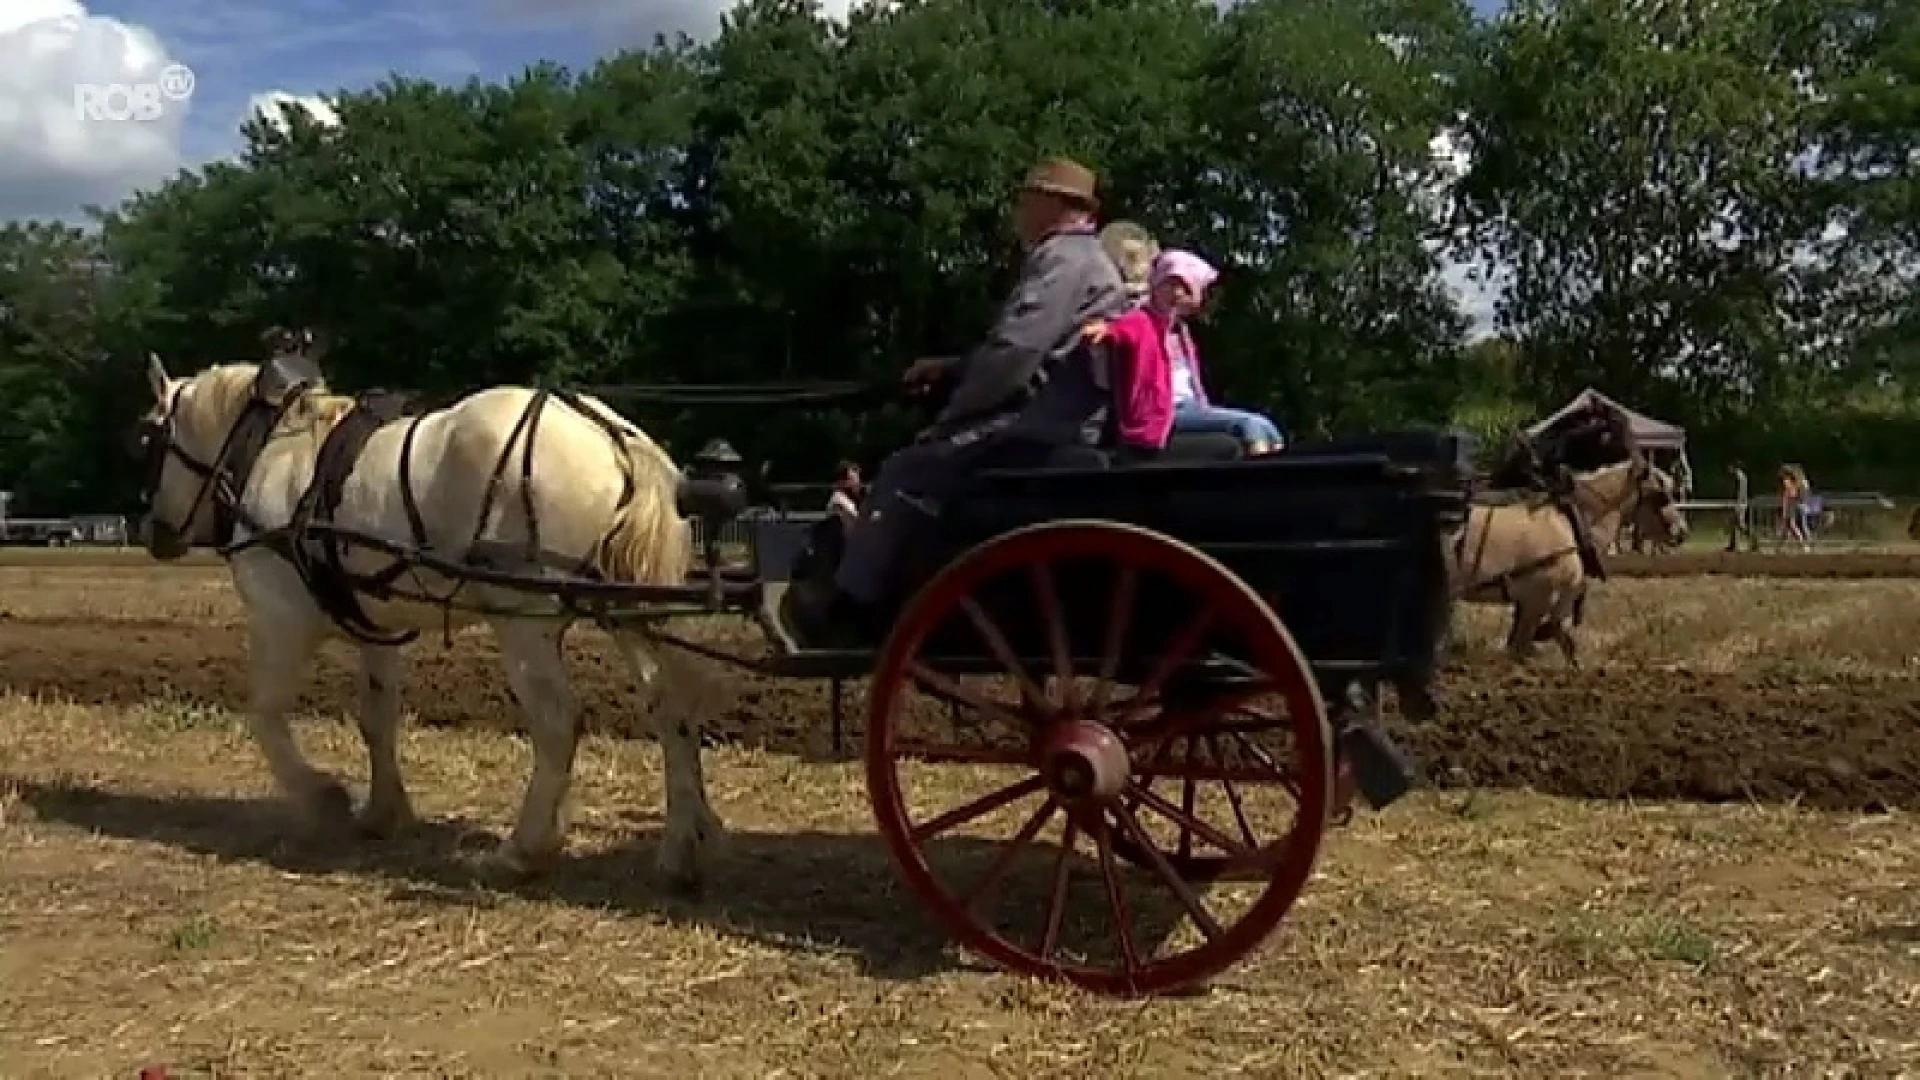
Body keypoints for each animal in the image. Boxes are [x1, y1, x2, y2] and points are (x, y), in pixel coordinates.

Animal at [133, 351, 721, 883]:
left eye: (150, 440)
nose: (153, 532)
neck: (270, 452)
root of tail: (613, 439)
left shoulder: (279, 620)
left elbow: (265, 715)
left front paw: (325, 796)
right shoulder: (375, 629)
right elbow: (376, 717)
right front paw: (381, 811)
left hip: (523, 622)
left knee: (557, 722)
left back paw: (523, 851)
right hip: (630, 612)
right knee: (670, 707)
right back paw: (682, 846)